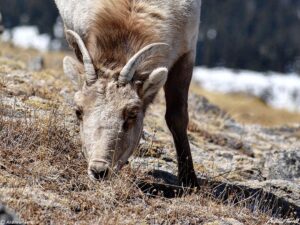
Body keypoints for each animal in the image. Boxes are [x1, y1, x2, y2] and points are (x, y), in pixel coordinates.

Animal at [55, 0, 203, 186]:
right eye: (78, 111)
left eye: (132, 113)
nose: (99, 171)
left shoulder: (187, 52)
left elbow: (177, 117)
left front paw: (189, 181)